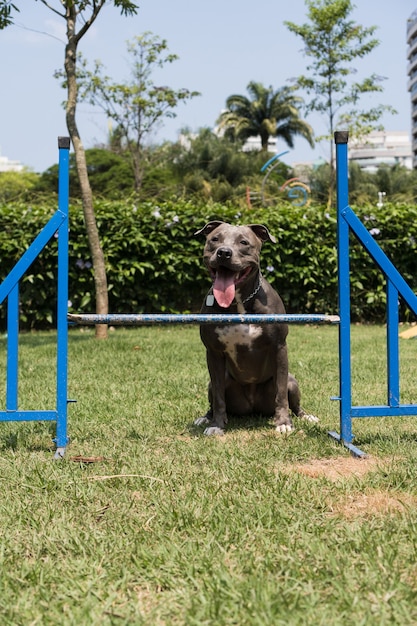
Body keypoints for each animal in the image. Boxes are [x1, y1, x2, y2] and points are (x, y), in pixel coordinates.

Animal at [193, 219, 316, 434]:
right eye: (215, 239)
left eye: (244, 243)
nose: (224, 252)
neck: (238, 302)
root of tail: (252, 407)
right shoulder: (213, 352)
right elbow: (218, 396)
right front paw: (216, 425)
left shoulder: (279, 347)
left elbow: (281, 393)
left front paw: (284, 423)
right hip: (215, 383)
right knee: (214, 396)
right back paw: (206, 418)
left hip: (293, 382)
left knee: (294, 402)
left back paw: (305, 416)